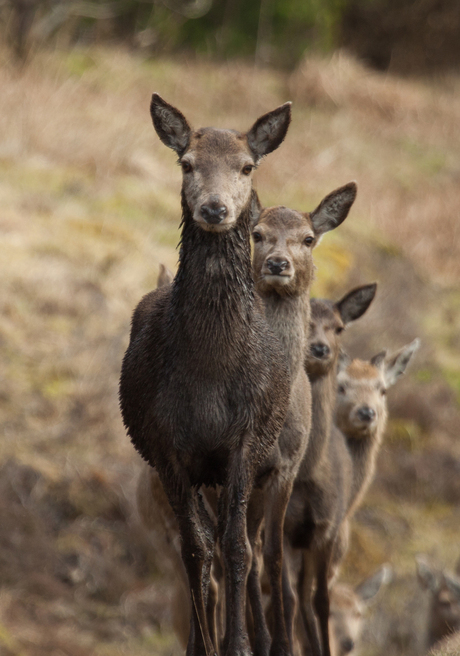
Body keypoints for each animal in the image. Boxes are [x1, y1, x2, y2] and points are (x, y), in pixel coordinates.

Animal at [118, 93, 292, 656]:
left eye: (247, 165)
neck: (211, 370)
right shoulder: (167, 446)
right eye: (187, 163)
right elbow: (196, 551)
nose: (215, 209)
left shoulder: (247, 440)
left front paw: (237, 644)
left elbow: (236, 546)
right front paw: (208, 645)